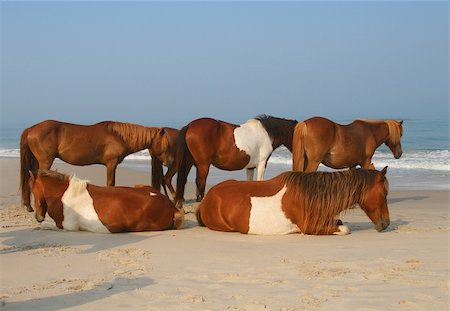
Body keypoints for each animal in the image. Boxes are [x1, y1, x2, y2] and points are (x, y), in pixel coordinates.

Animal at [20, 119, 170, 212]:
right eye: (166, 144)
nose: (167, 163)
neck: (119, 136)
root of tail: (30, 129)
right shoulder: (111, 164)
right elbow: (110, 183)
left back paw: (29, 206)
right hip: (45, 161)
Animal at [197, 167, 390, 235]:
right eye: (384, 193)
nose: (386, 223)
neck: (310, 195)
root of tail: (207, 198)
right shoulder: (310, 227)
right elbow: (344, 229)